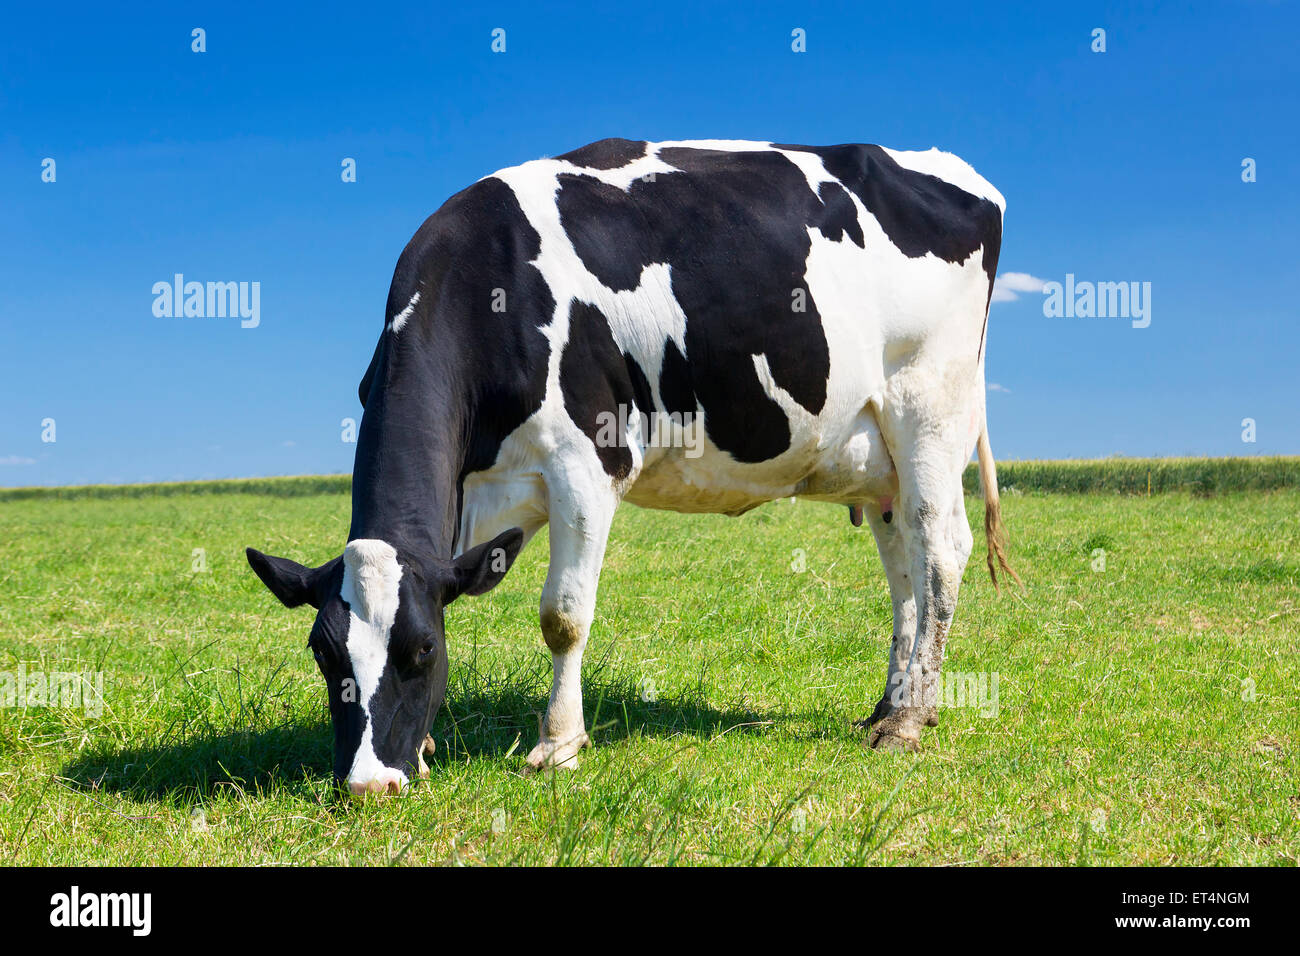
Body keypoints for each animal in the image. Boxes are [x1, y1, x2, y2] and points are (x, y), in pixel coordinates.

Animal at [246, 138, 1019, 795]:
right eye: (324, 655)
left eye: (422, 651)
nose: (370, 784)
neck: (491, 285)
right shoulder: (469, 500)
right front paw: (432, 745)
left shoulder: (586, 466)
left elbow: (562, 615)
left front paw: (557, 745)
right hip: (876, 455)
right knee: (904, 570)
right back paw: (888, 706)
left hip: (930, 410)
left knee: (941, 551)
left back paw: (909, 722)